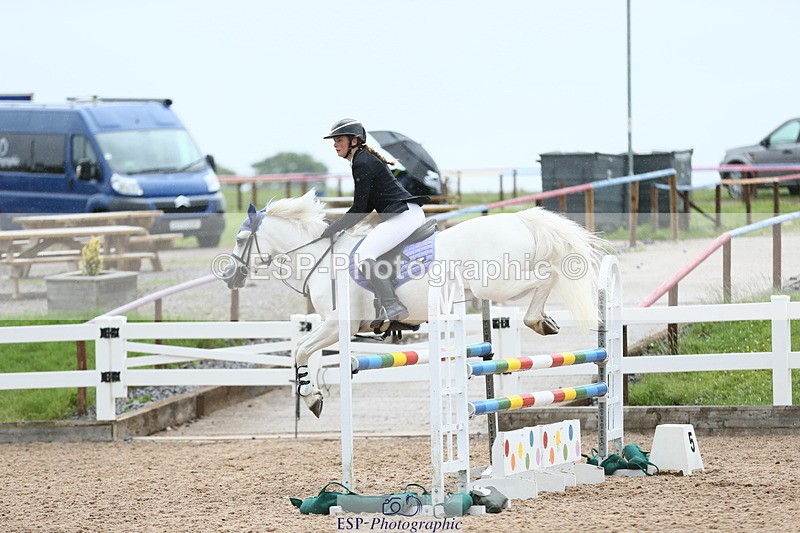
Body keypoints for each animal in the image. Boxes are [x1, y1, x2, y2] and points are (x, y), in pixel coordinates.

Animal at [222, 189, 606, 417]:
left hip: (499, 283)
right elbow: (302, 350)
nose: (229, 277)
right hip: (496, 287)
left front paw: (311, 396)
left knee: (547, 276)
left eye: (240, 239)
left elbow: (300, 350)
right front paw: (313, 394)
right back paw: (543, 321)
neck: (321, 259)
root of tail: (520, 219)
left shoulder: (337, 324)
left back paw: (538, 320)